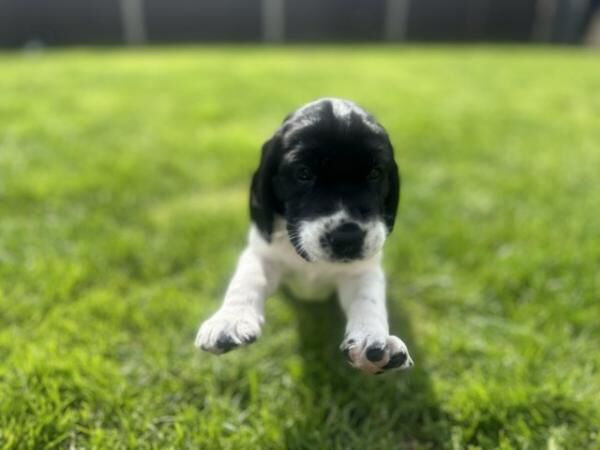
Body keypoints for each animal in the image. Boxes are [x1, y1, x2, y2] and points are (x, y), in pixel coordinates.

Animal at [195, 97, 414, 372]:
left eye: (375, 173)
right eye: (303, 173)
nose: (347, 238)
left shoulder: (362, 269)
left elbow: (368, 300)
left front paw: (373, 339)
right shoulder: (262, 253)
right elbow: (246, 281)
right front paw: (229, 320)